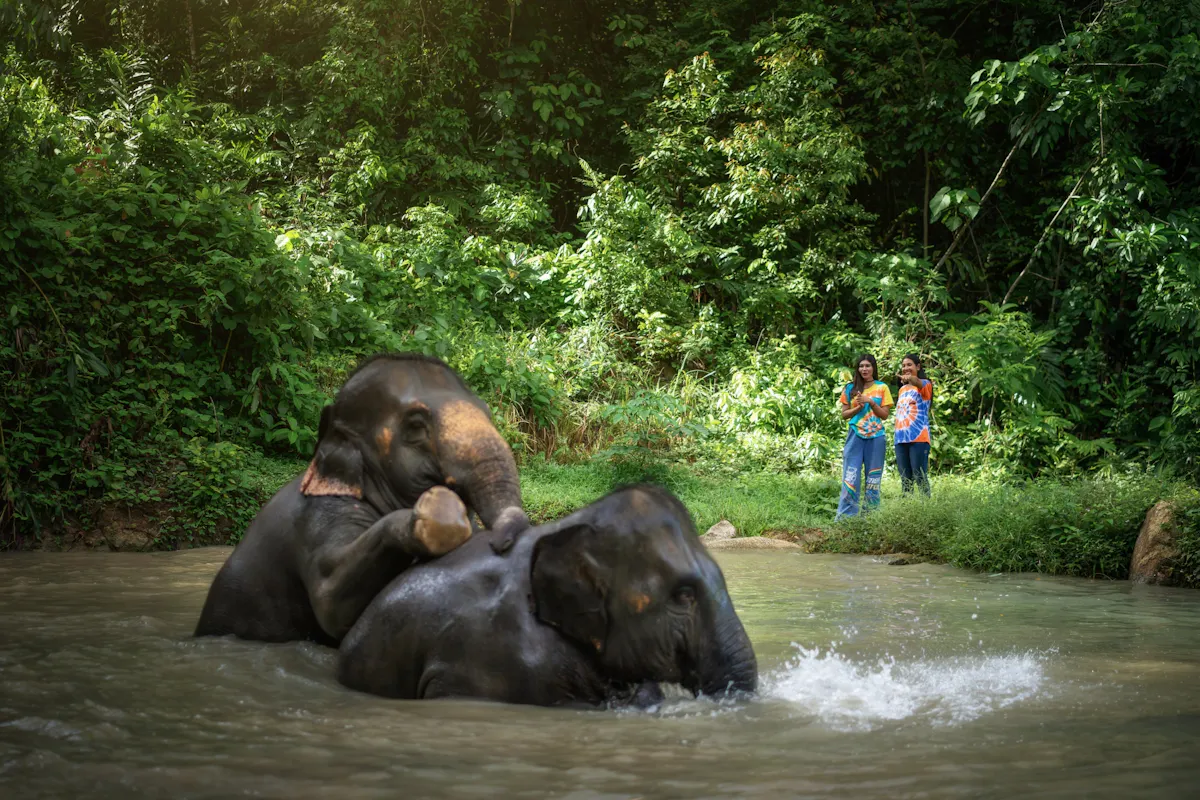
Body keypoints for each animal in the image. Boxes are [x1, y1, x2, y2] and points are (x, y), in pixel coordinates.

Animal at [194, 353, 529, 646]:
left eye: (487, 412)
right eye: (416, 425)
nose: (501, 543)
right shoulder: (319, 516)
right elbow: (330, 601)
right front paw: (439, 513)